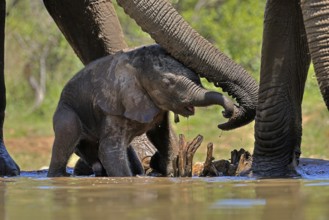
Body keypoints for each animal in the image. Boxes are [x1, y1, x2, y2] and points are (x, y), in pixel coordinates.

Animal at [47, 44, 234, 177]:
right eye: (168, 83)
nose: (227, 113)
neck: (137, 66)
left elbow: (160, 135)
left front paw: (170, 173)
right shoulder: (113, 104)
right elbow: (109, 150)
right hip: (66, 113)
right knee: (67, 136)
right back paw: (60, 176)